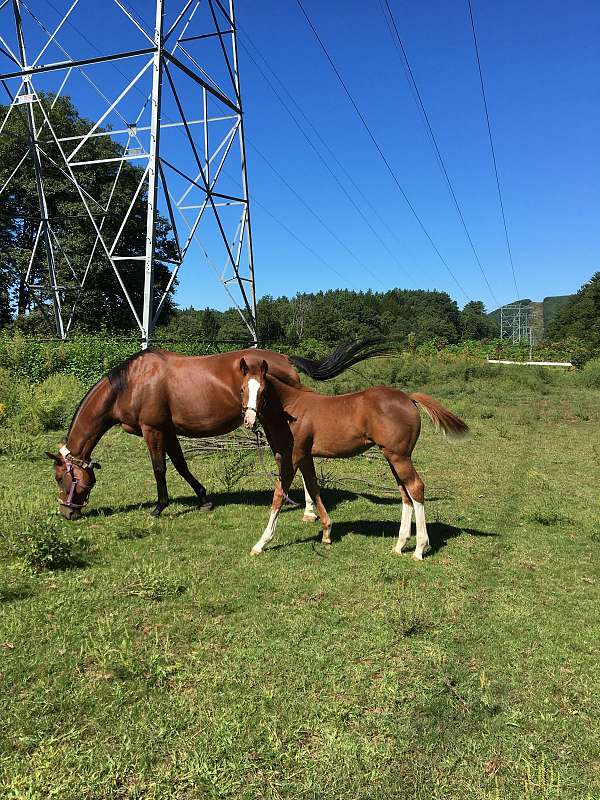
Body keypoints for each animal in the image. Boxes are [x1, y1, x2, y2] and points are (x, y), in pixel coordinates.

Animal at [43, 340, 390, 520]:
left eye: (61, 478)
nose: (66, 513)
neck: (132, 382)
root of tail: (285, 359)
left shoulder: (153, 430)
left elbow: (159, 469)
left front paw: (159, 507)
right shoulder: (169, 430)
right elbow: (181, 465)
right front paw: (204, 498)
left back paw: (301, 506)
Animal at [240, 360, 468, 560]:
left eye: (263, 391)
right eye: (242, 390)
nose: (249, 421)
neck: (290, 409)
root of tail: (408, 397)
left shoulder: (292, 458)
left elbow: (279, 496)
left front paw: (261, 543)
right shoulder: (305, 457)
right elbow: (314, 488)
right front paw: (326, 533)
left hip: (399, 457)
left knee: (416, 488)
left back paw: (419, 549)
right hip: (393, 457)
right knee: (405, 493)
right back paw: (399, 545)